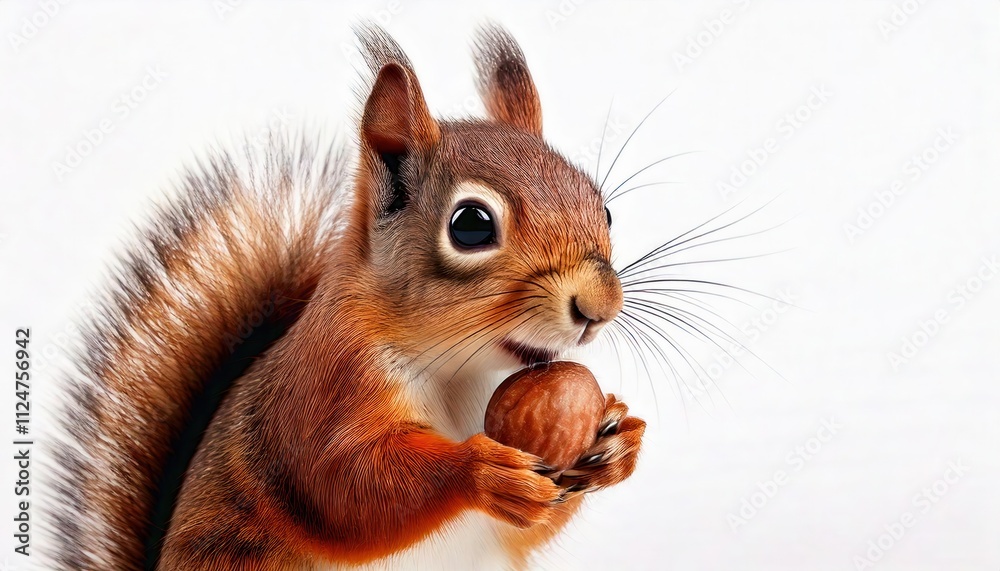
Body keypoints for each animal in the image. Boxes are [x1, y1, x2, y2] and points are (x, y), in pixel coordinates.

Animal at [45, 24, 646, 571]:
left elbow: (531, 526)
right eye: (471, 225)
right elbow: (341, 486)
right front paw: (481, 471)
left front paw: (618, 440)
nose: (598, 308)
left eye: (604, 208)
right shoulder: (324, 381)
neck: (459, 370)